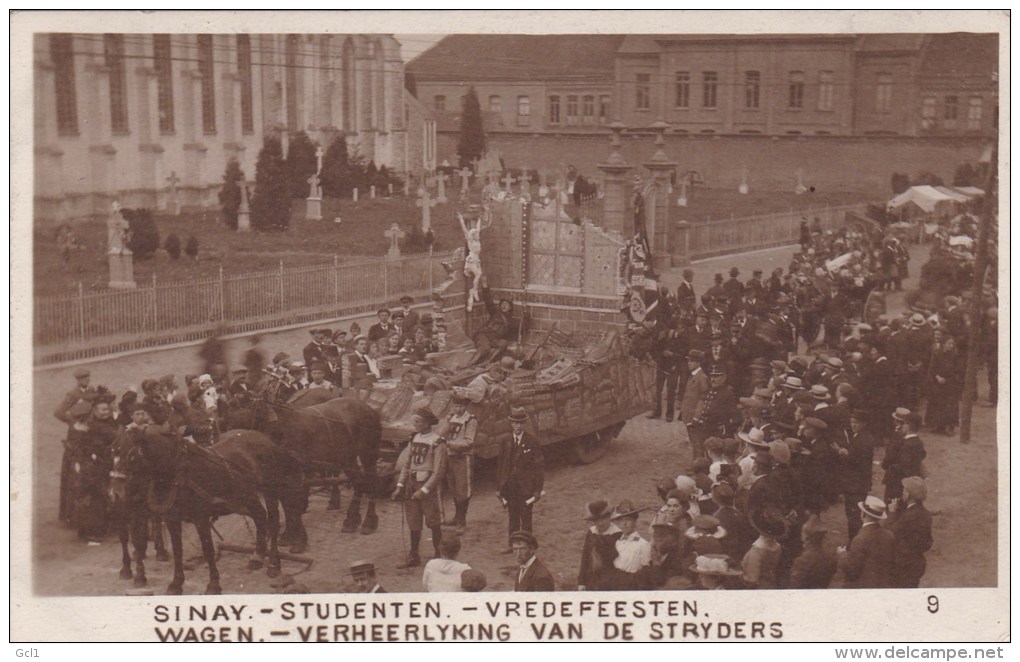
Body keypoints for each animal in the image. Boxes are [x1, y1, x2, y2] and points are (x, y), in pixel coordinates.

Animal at [119, 426, 287, 595]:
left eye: (133, 457)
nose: (123, 494)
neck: (178, 473)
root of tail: (265, 437)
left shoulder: (201, 519)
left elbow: (208, 550)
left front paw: (213, 584)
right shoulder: (172, 520)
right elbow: (177, 550)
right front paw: (176, 583)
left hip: (269, 491)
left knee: (272, 523)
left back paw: (274, 564)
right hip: (247, 496)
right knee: (260, 516)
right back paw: (257, 557)